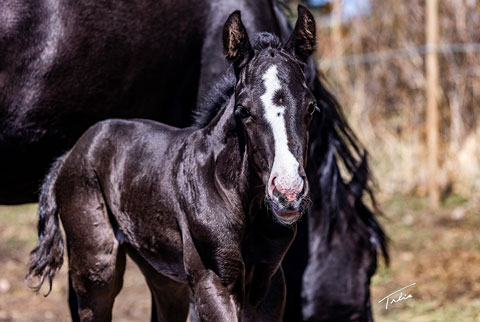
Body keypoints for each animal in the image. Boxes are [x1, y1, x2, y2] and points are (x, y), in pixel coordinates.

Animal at [0, 1, 388, 320]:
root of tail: (71, 153)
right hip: (96, 265)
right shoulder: (210, 281)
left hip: (160, 270)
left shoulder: (267, 285)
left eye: (311, 109)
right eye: (243, 110)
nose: (288, 193)